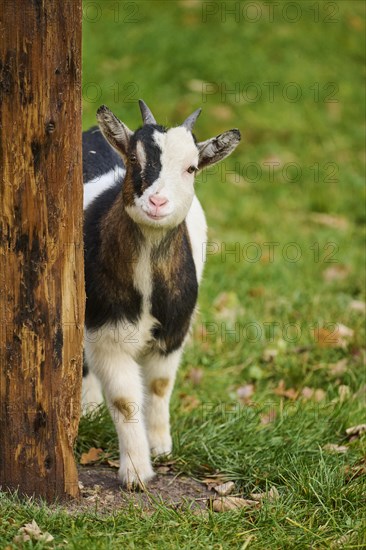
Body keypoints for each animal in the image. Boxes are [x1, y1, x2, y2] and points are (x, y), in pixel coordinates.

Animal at [81, 101, 240, 490]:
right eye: (134, 158)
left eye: (192, 167)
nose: (156, 201)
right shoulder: (107, 330)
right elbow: (125, 401)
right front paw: (136, 473)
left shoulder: (174, 330)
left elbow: (159, 385)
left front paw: (160, 446)